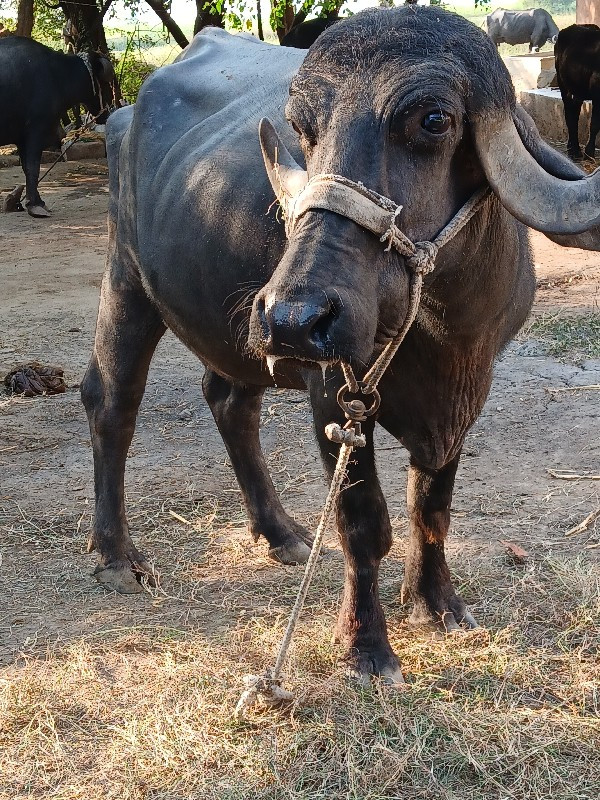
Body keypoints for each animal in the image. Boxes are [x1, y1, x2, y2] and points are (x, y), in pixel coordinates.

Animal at [0, 36, 114, 216]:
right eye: (106, 83)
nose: (107, 113)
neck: (57, 75)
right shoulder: (35, 131)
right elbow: (33, 167)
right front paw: (35, 205)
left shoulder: (22, 138)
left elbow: (26, 168)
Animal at [83, 7, 600, 680]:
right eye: (303, 128)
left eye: (433, 120)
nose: (294, 319)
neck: (440, 332)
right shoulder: (333, 394)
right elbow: (363, 521)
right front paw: (366, 645)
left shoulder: (468, 392)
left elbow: (431, 506)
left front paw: (436, 603)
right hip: (128, 279)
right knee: (112, 401)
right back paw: (117, 556)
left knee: (229, 403)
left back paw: (281, 533)